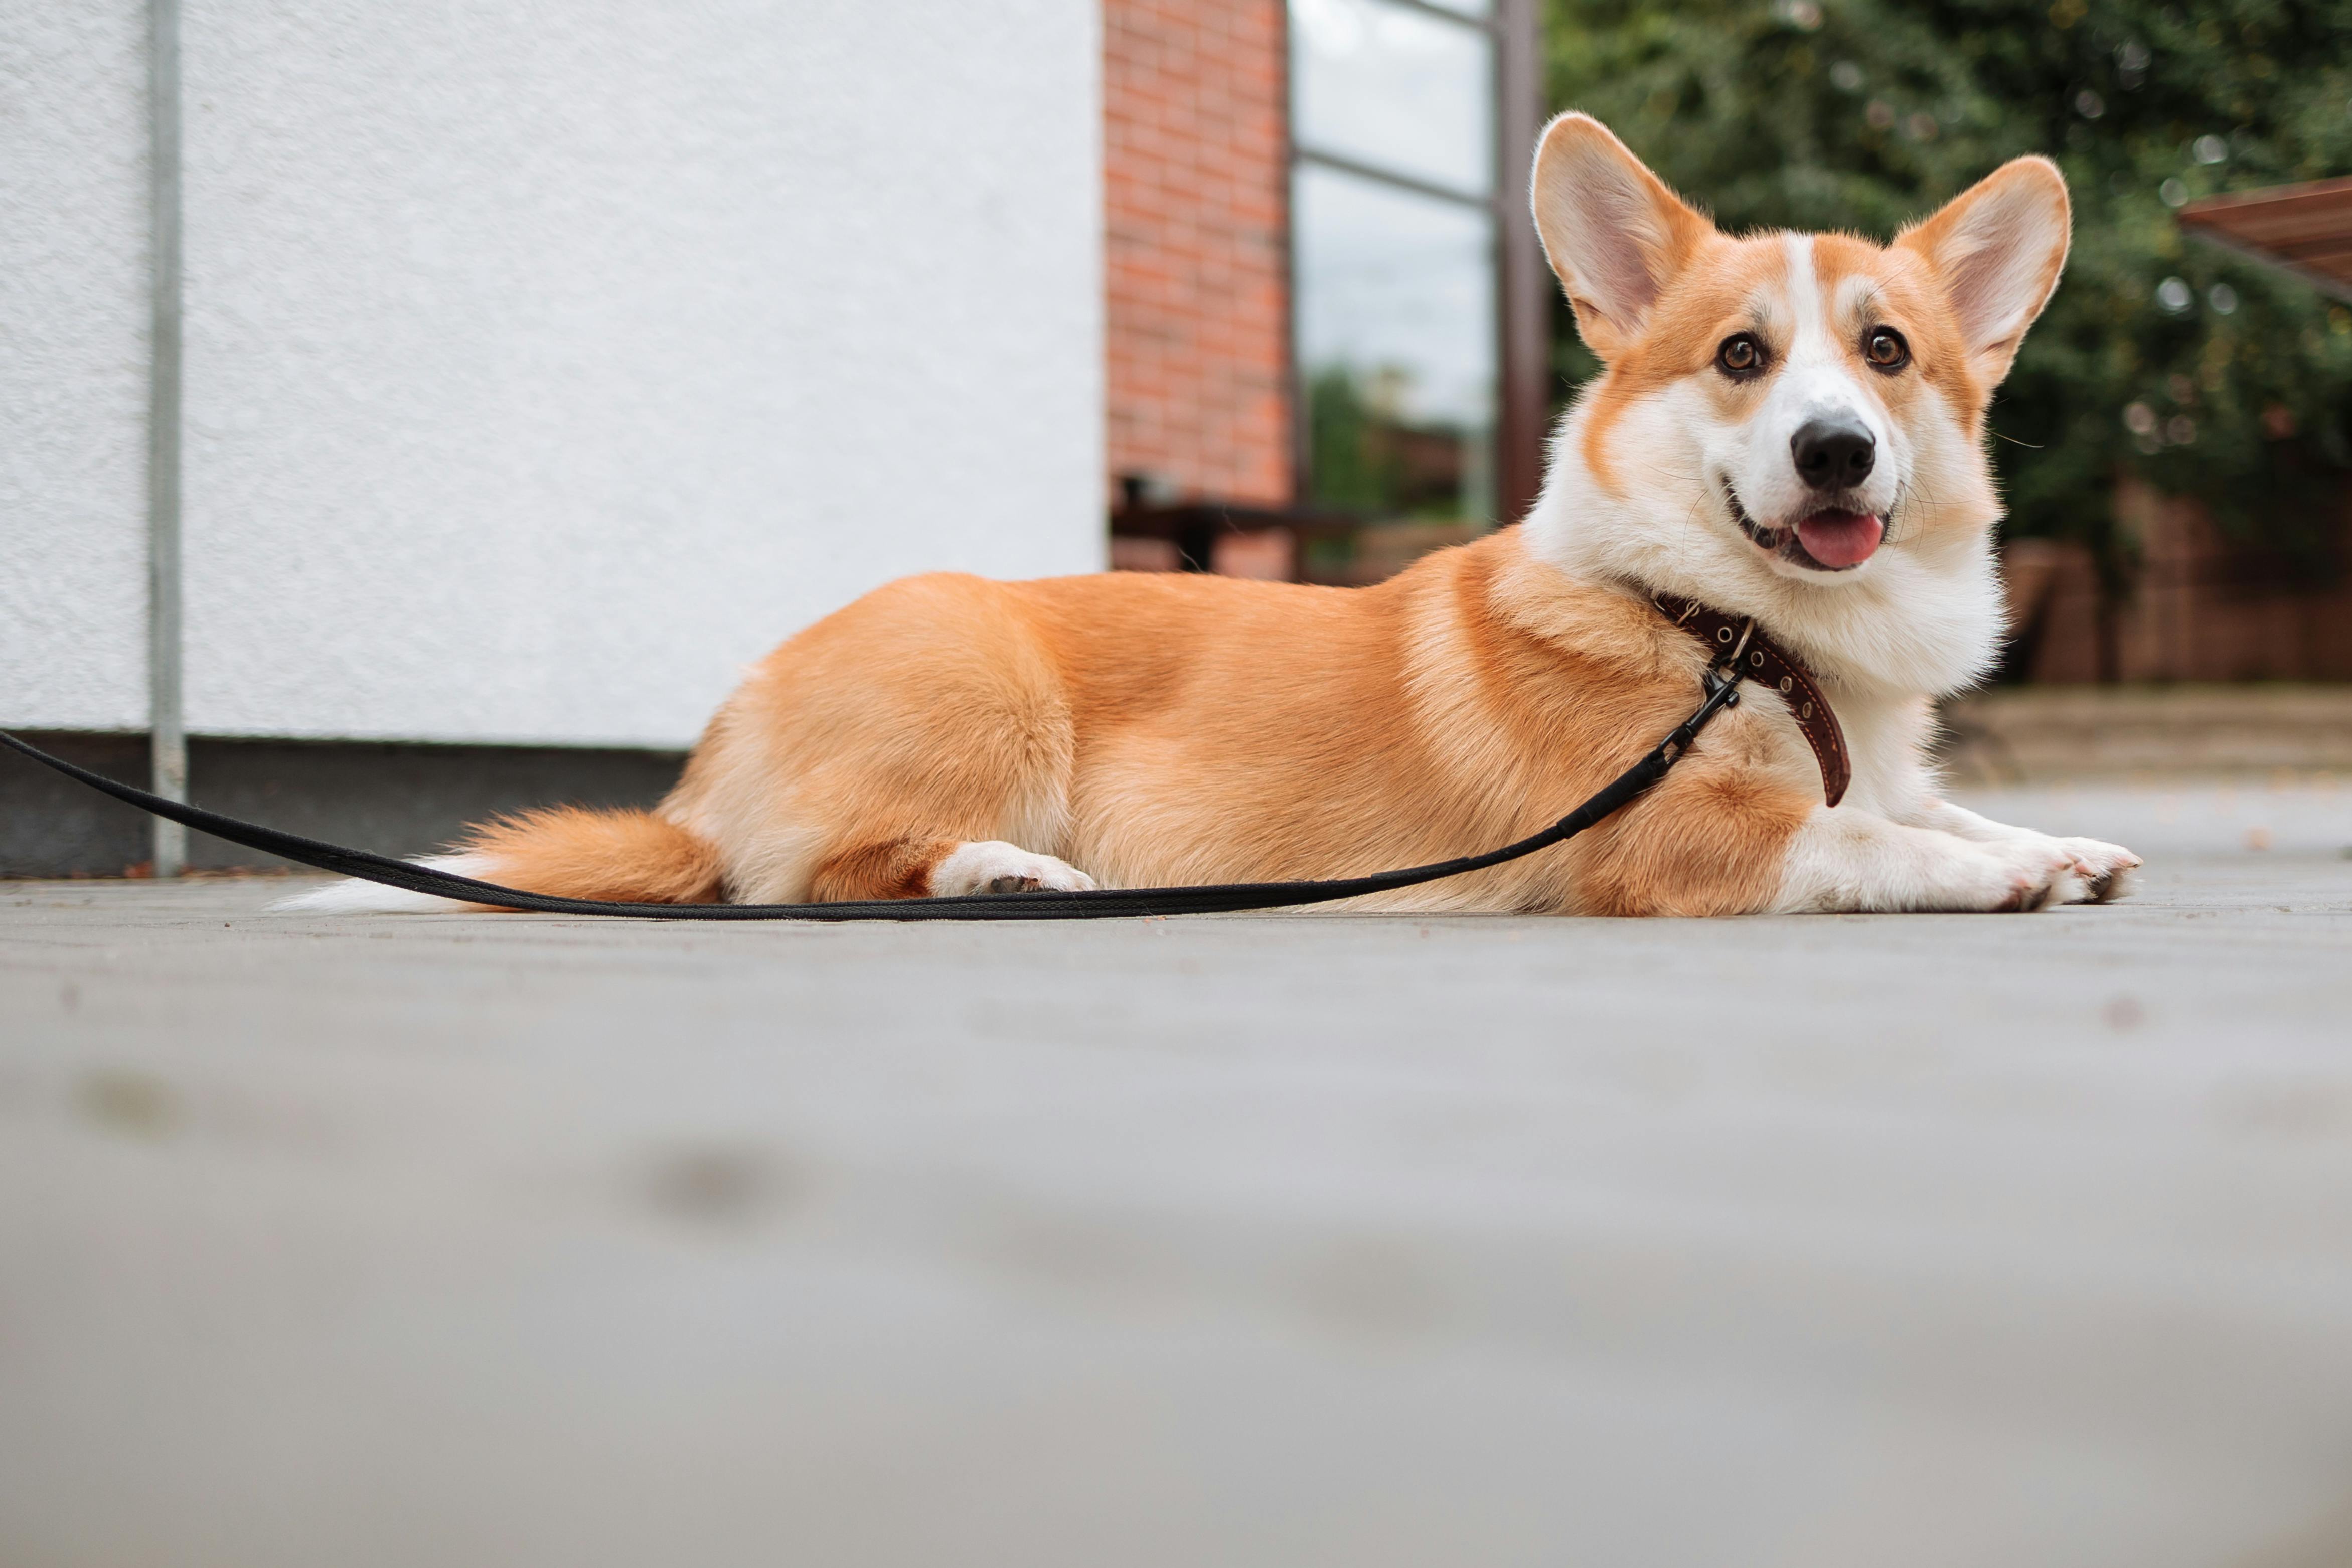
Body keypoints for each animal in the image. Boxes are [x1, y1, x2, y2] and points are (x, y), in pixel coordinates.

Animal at [294, 120, 2135, 921]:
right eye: (1742, 358)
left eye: (1884, 354)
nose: (1834, 452)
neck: (1729, 625)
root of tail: (713, 744)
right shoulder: (1664, 840)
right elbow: (1865, 840)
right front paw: (2005, 870)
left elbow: (1921, 806)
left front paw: (2051, 836)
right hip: (972, 682)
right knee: (811, 872)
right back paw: (1006, 874)